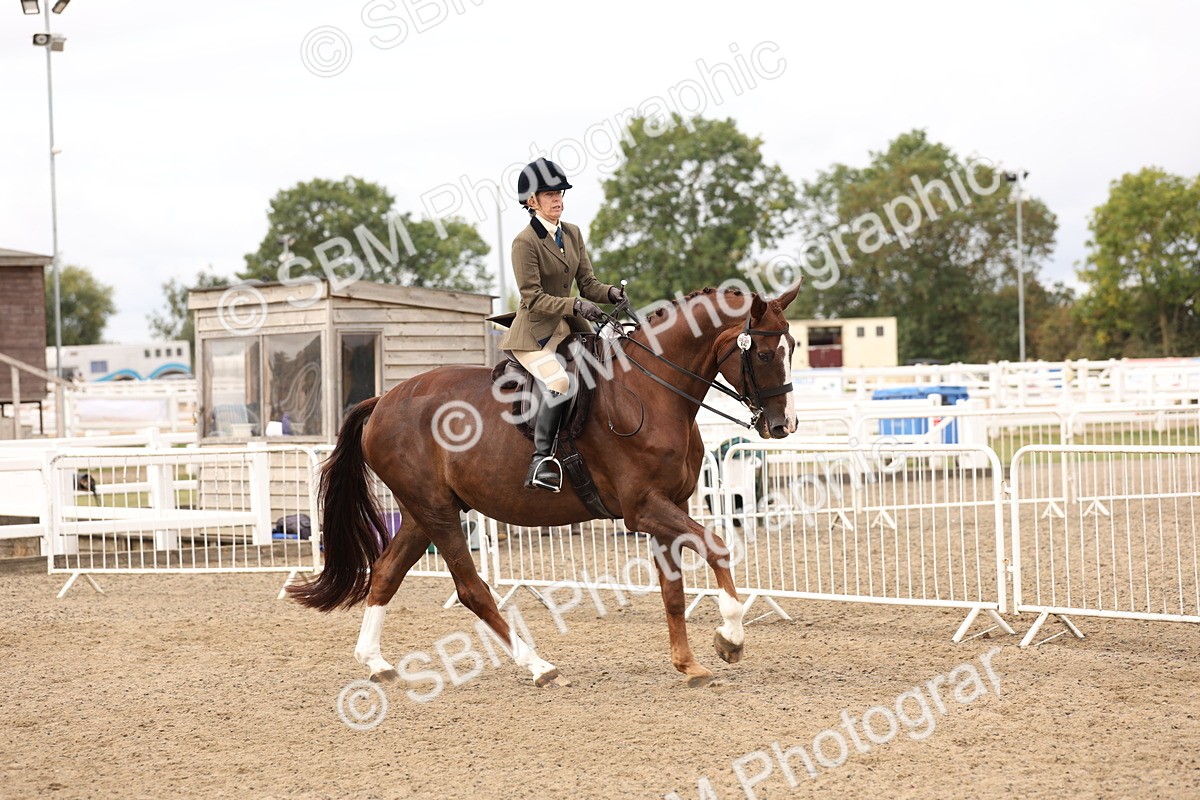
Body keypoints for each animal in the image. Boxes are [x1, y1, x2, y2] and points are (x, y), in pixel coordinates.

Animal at [288, 281, 802, 688]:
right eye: (762, 353)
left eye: (793, 346)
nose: (783, 426)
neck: (652, 392)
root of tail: (382, 401)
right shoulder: (645, 508)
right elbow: (717, 546)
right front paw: (730, 637)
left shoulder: (668, 508)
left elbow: (673, 592)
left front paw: (689, 665)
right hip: (436, 511)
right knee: (471, 589)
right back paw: (538, 665)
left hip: (422, 512)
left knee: (386, 573)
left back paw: (375, 663)